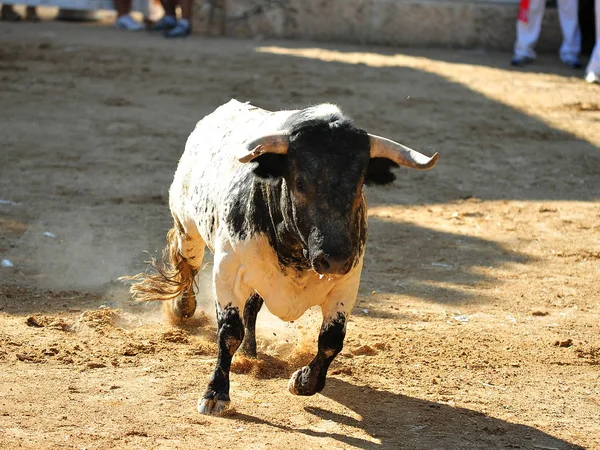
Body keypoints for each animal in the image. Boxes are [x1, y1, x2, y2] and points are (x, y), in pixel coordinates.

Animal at [129, 98, 438, 414]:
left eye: (359, 184)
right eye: (300, 183)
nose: (335, 260)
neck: (296, 253)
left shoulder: (347, 284)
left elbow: (331, 340)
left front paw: (302, 381)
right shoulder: (227, 272)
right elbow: (229, 331)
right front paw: (215, 393)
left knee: (251, 308)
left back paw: (250, 352)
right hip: (187, 225)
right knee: (188, 265)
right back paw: (182, 308)